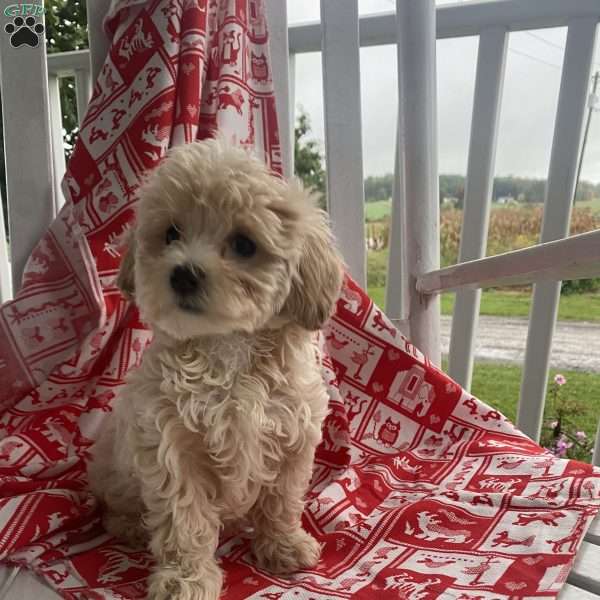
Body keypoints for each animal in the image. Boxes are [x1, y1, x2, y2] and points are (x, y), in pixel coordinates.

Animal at [87, 138, 344, 596]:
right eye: (171, 233)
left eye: (244, 244)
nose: (183, 274)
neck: (228, 348)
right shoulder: (170, 446)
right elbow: (183, 520)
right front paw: (184, 579)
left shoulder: (293, 436)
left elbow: (282, 499)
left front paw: (283, 545)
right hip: (113, 472)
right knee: (114, 507)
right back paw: (130, 525)